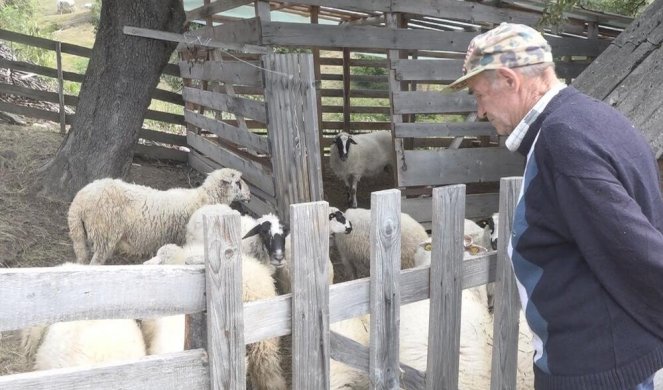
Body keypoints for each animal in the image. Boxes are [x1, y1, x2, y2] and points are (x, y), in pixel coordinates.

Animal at [69, 168, 252, 266]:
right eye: (238, 182)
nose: (250, 196)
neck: (204, 198)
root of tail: (78, 202)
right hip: (104, 233)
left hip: (81, 235)